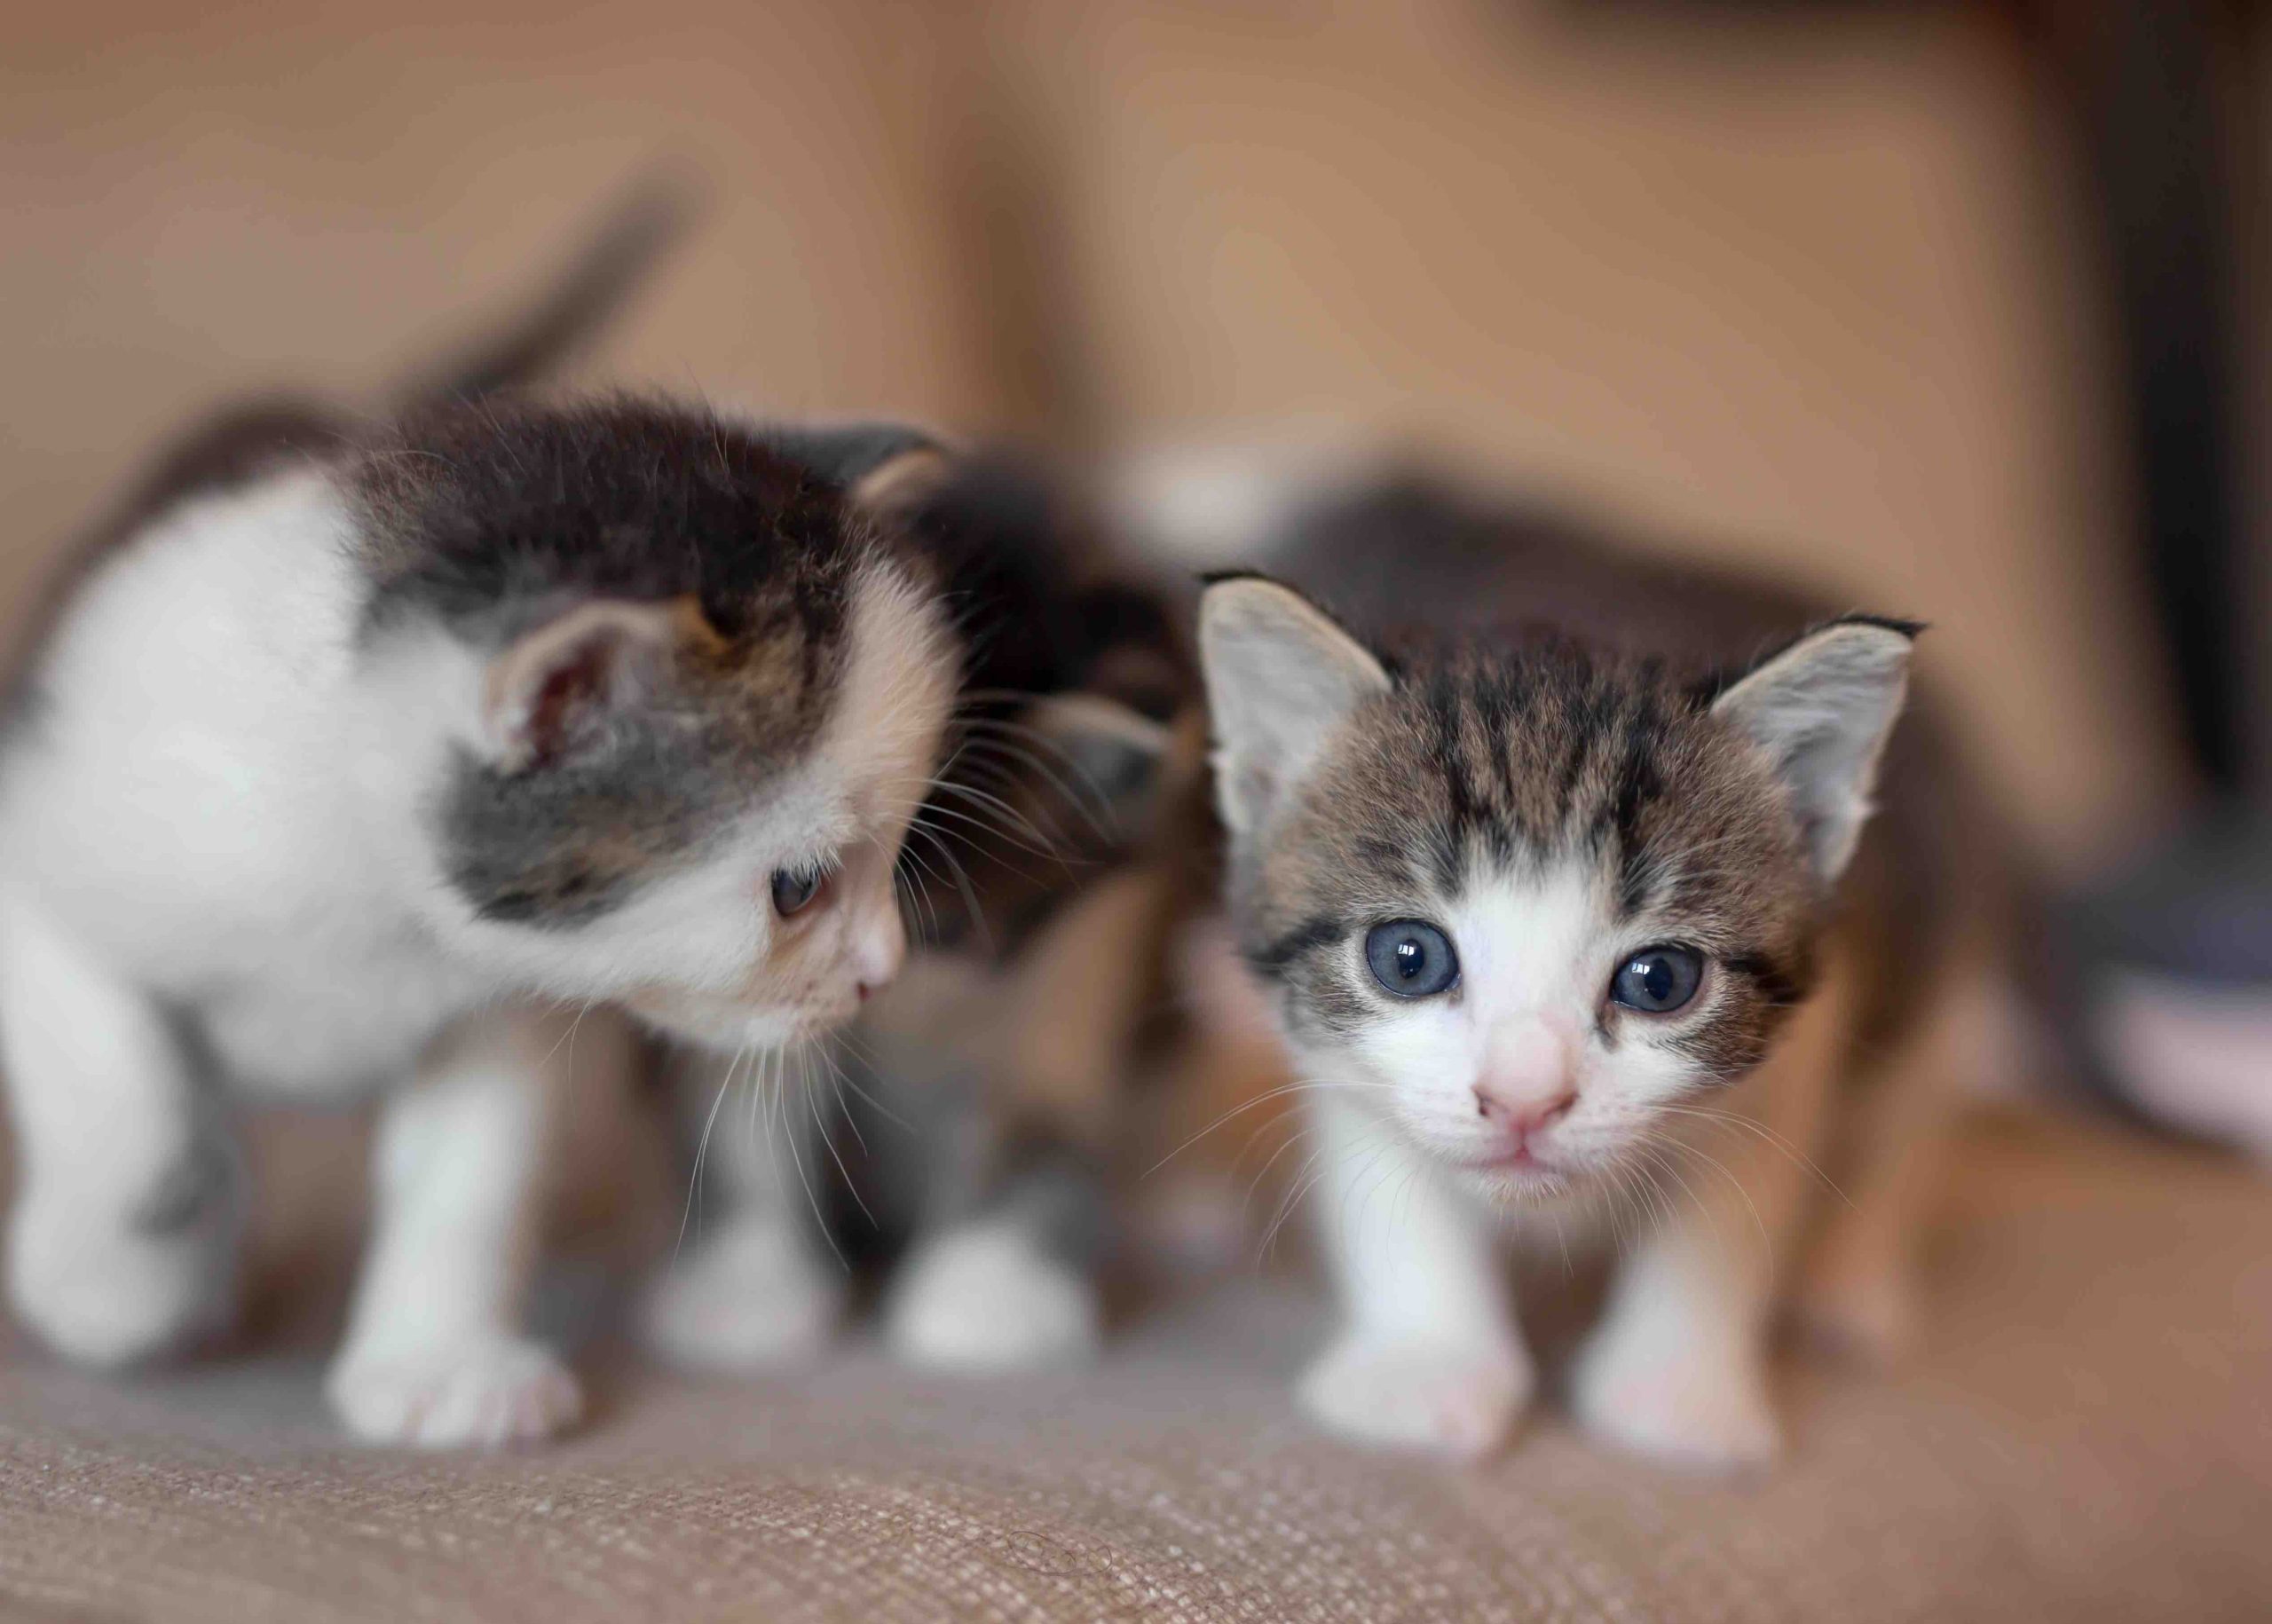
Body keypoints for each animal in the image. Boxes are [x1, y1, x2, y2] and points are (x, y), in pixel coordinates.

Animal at [0, 190, 967, 1444]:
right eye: (796, 889)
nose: (881, 973)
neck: (370, 896)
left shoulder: (497, 1009)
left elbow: (471, 1182)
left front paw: (439, 1367)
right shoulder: (48, 823)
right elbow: (111, 1069)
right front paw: (107, 1276)